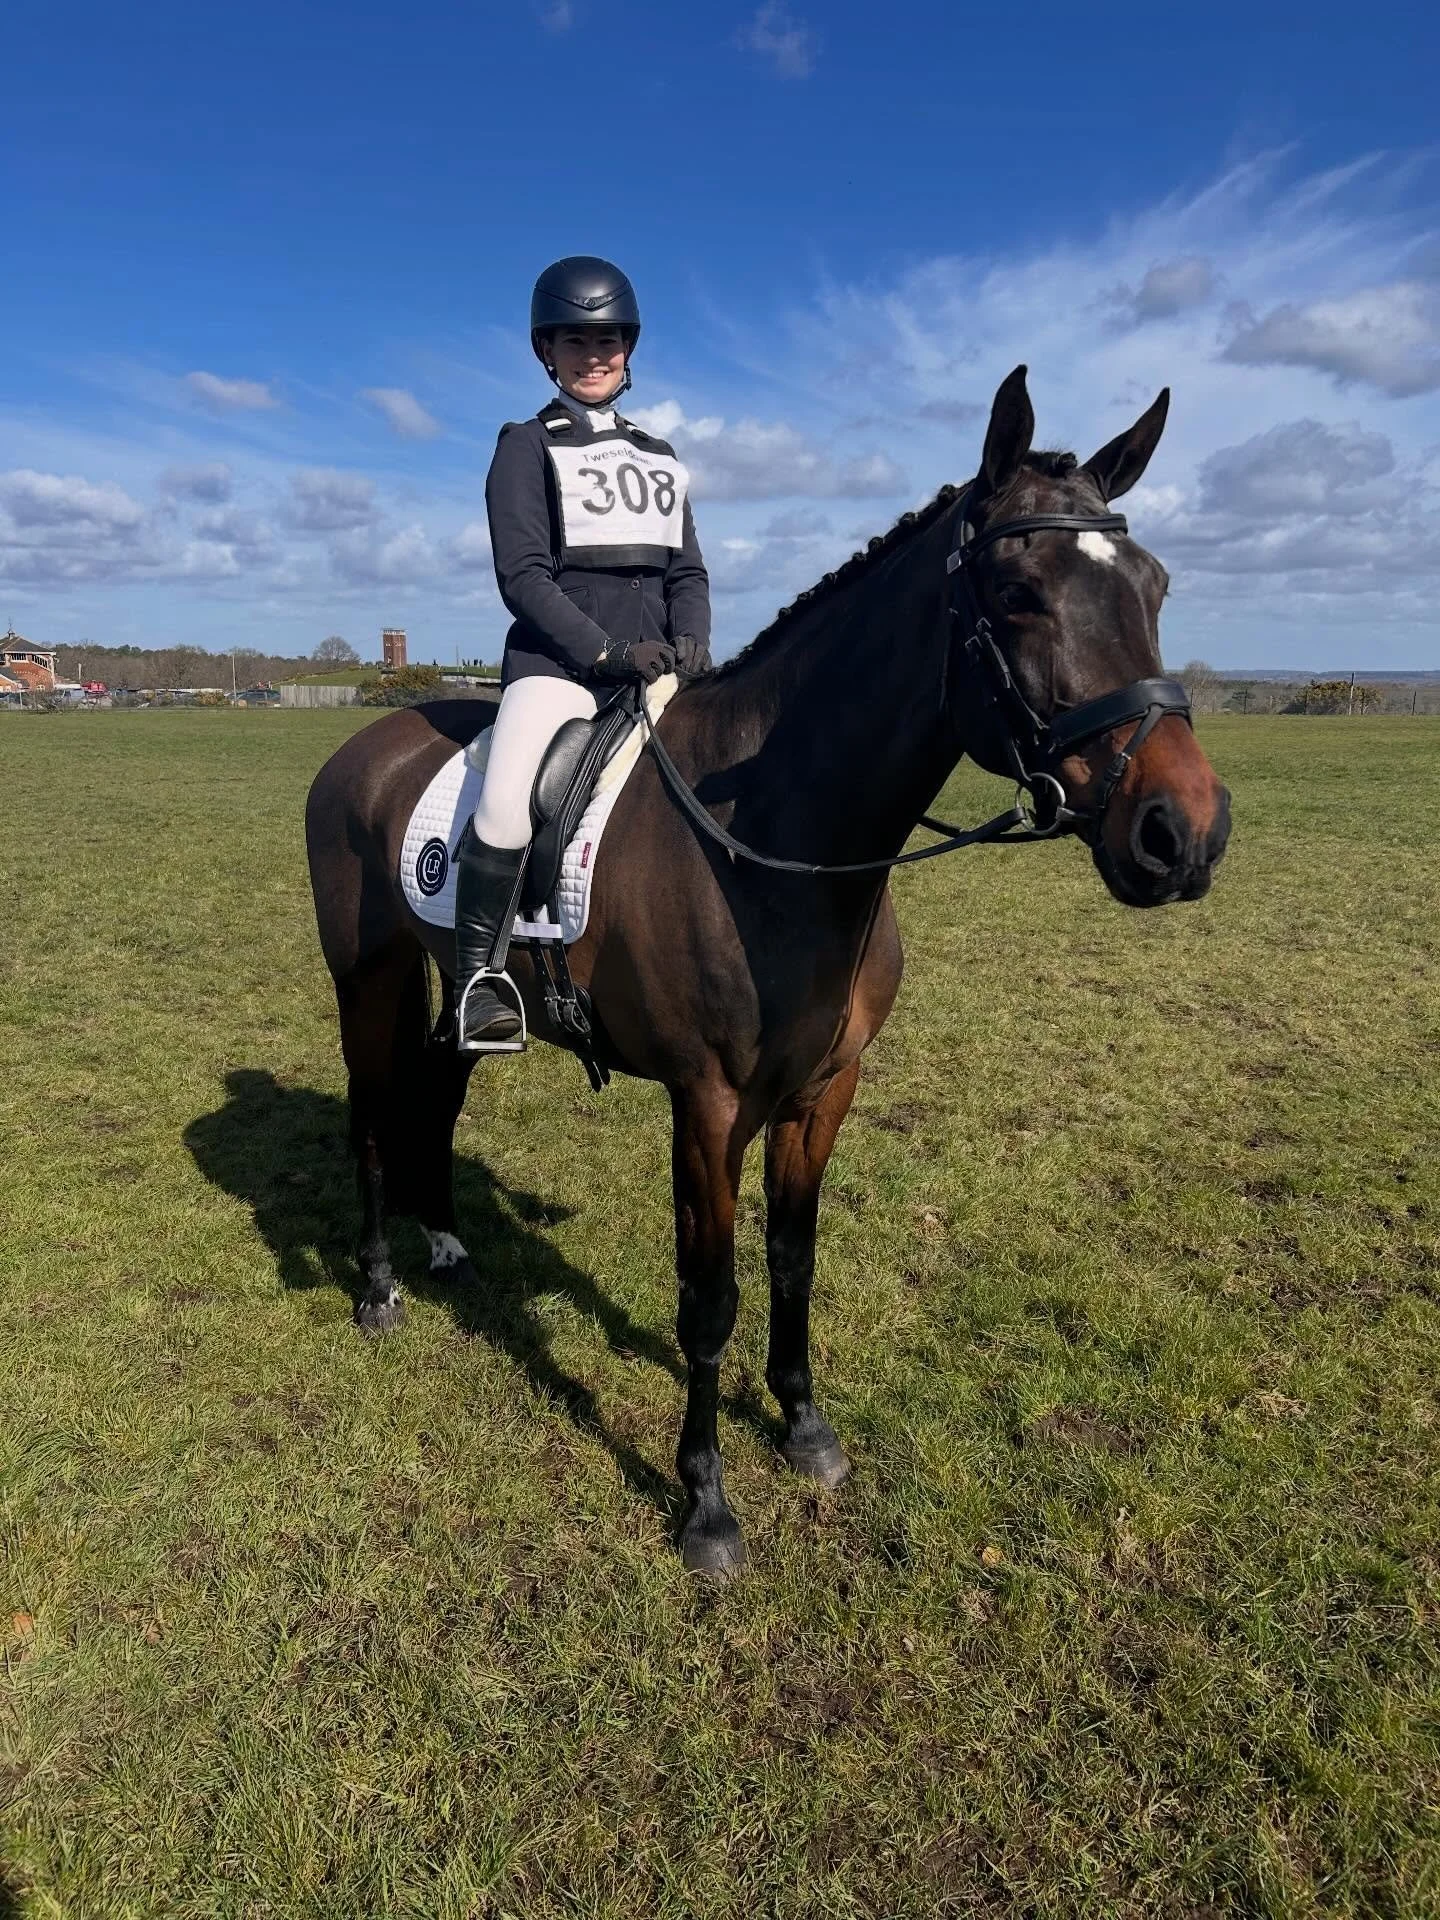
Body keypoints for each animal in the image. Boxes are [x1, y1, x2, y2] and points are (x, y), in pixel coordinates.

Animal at [305, 366, 1231, 1578]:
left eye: (1157, 586)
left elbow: (794, 1261)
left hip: (465, 999)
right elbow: (711, 1295)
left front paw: (804, 1428)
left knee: (439, 1088)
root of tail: (358, 749)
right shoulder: (707, 1107)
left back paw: (446, 1240)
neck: (778, 837)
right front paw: (705, 1503)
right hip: (364, 980)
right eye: (1019, 593)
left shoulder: (824, 1090)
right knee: (371, 1113)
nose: (1185, 835)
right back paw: (376, 1288)